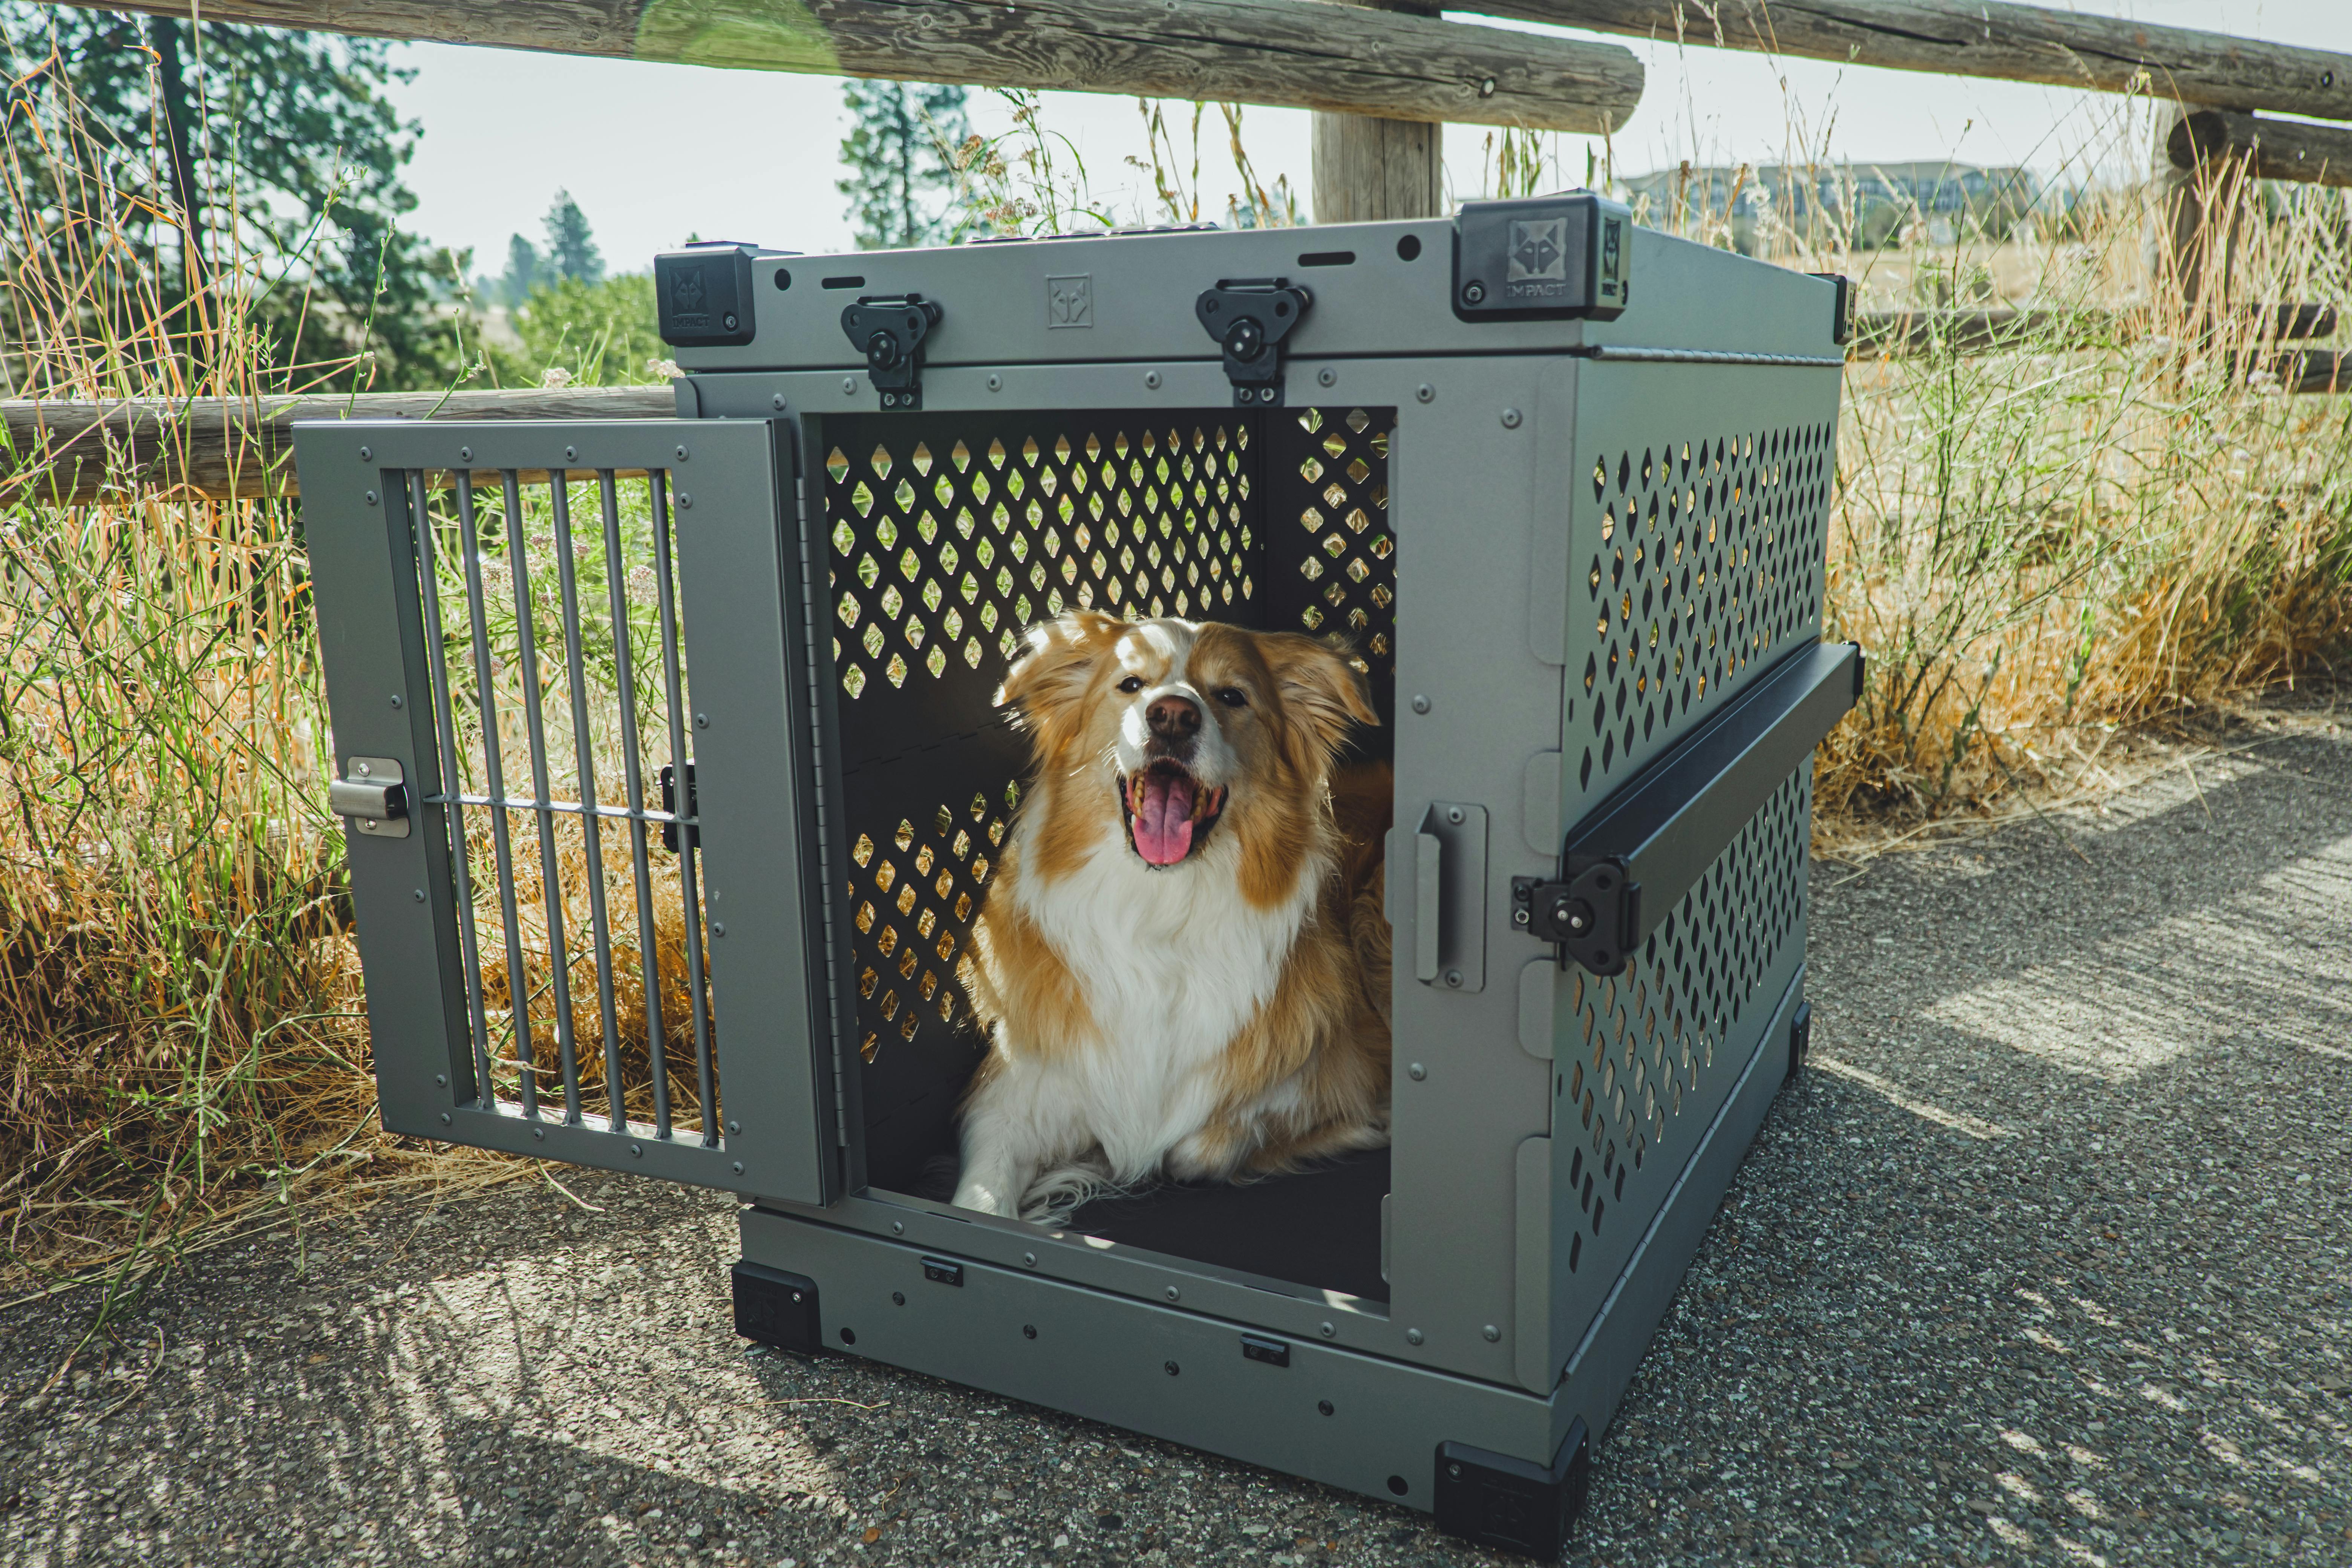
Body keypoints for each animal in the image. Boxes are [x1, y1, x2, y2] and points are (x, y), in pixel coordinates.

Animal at [950, 606, 1392, 1222]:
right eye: (1131, 684)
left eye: (1232, 695)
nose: (1174, 716)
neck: (1161, 907)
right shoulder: (1014, 1093)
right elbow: (979, 1203)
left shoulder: (1329, 1072)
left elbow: (1191, 1149)